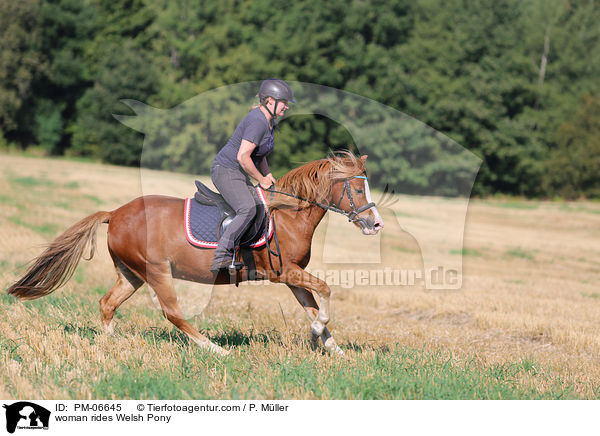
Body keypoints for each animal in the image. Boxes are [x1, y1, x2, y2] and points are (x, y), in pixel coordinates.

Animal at [5, 152, 384, 354]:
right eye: (355, 188)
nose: (375, 223)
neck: (289, 214)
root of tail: (115, 213)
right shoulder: (284, 273)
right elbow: (325, 292)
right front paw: (321, 334)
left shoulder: (292, 277)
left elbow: (313, 306)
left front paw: (334, 349)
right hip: (157, 271)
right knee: (173, 313)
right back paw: (216, 349)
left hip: (132, 274)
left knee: (108, 303)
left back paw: (110, 342)